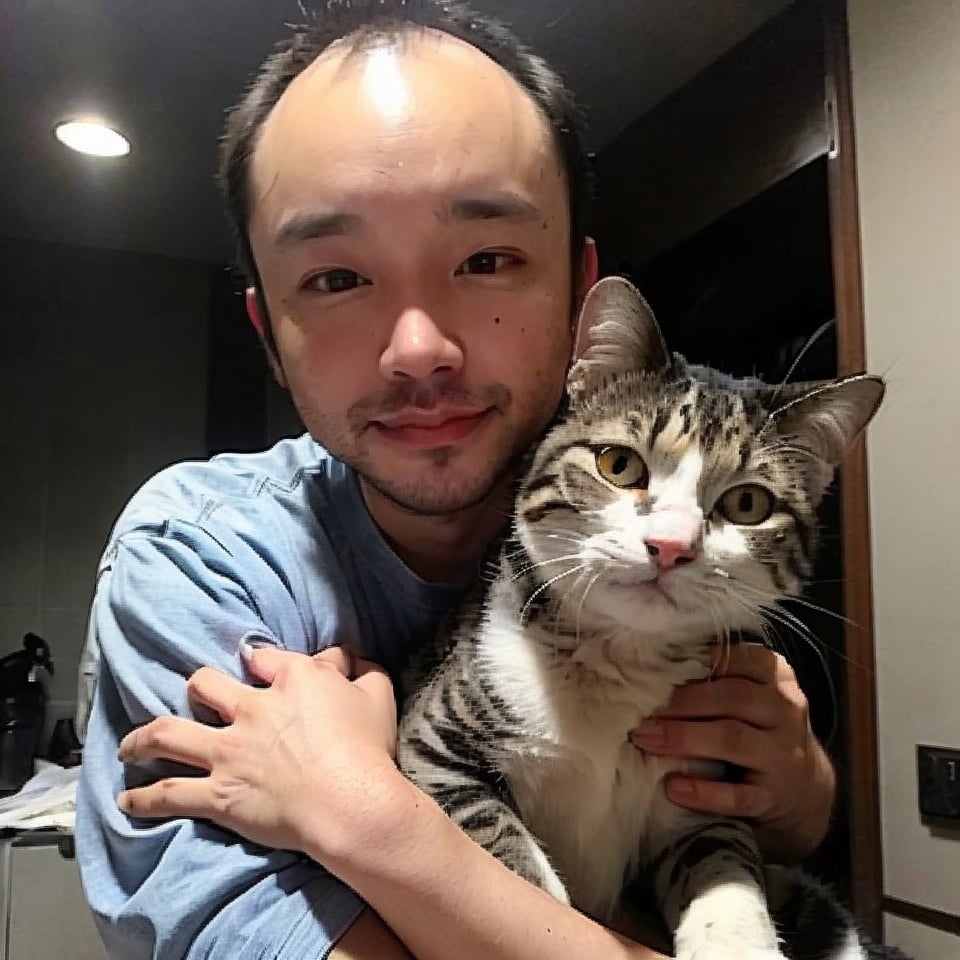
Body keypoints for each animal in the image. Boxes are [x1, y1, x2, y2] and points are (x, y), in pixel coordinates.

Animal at [394, 276, 880, 960]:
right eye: (618, 464)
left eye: (748, 503)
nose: (670, 545)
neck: (617, 660)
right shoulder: (435, 747)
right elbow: (511, 867)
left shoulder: (702, 785)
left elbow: (723, 863)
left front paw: (736, 939)